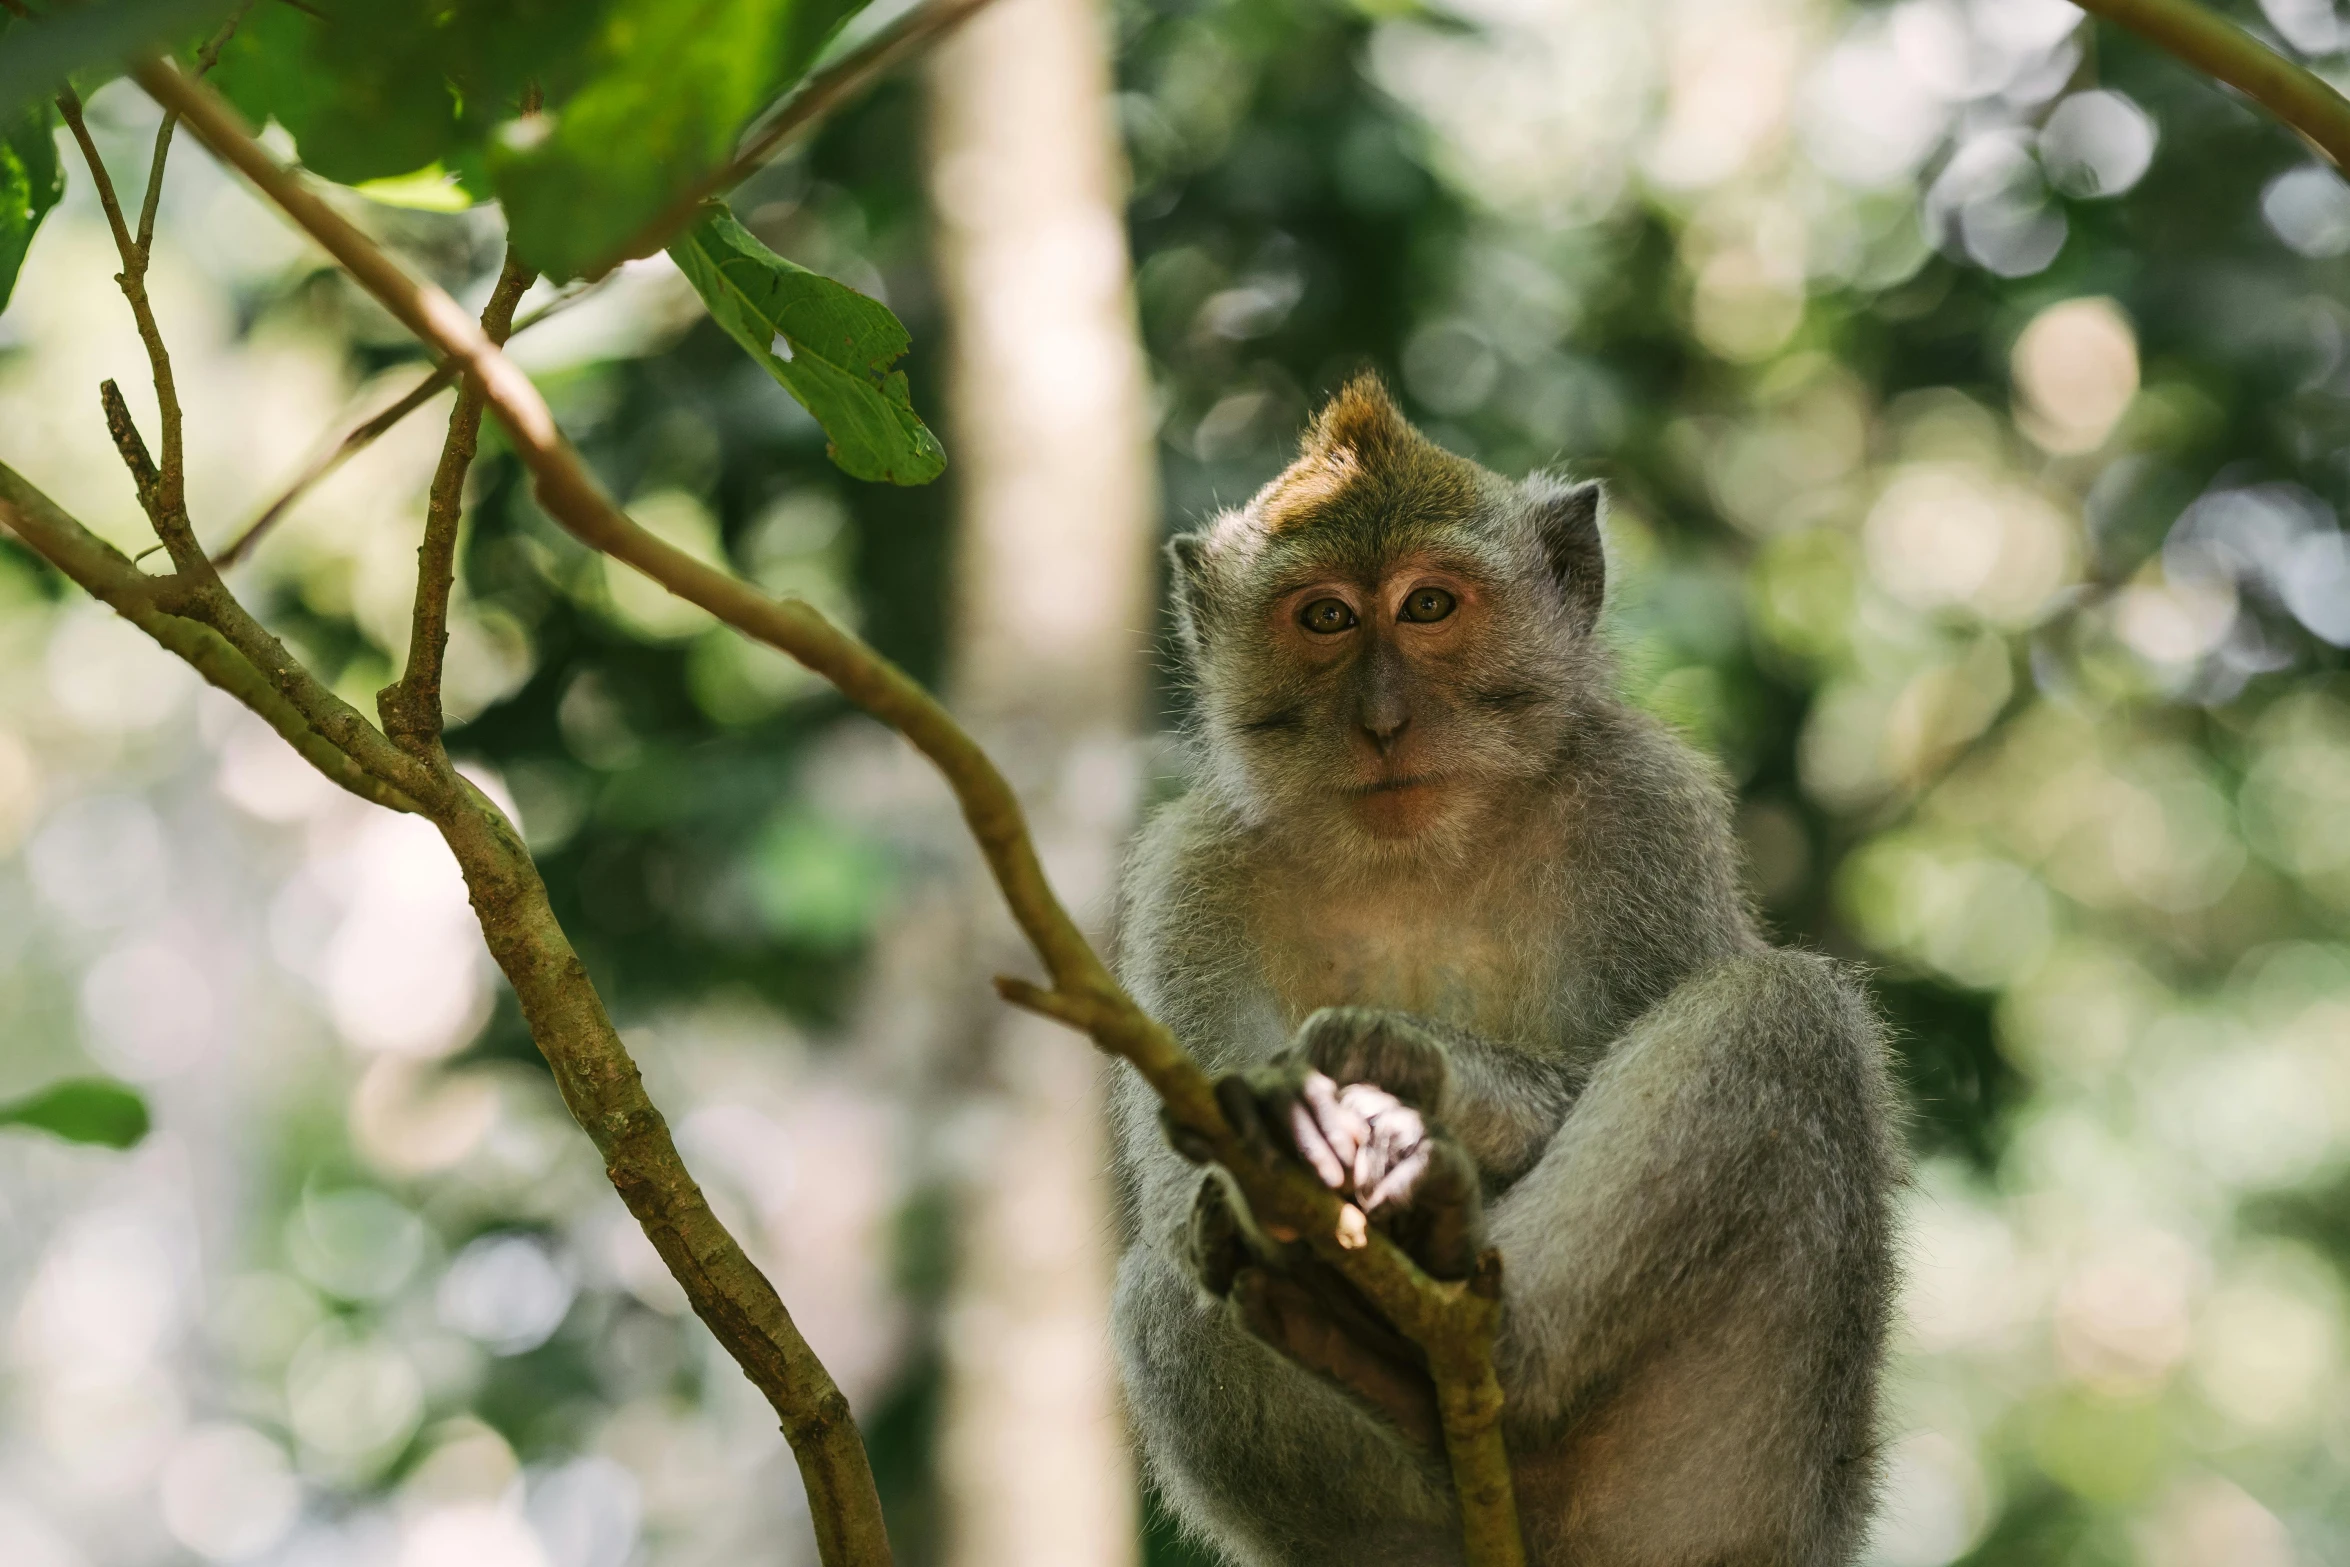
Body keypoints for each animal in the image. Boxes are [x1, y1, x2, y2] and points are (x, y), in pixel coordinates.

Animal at [1109, 380, 1898, 1567]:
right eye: (1326, 619)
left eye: (1430, 606)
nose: (1384, 722)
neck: (1418, 854)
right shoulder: (1188, 880)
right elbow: (1183, 1187)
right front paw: (1299, 1132)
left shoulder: (1640, 812)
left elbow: (1611, 1054)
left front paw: (1396, 1074)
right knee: (1163, 1275)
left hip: (1730, 1487)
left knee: (1781, 1015)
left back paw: (1477, 1344)